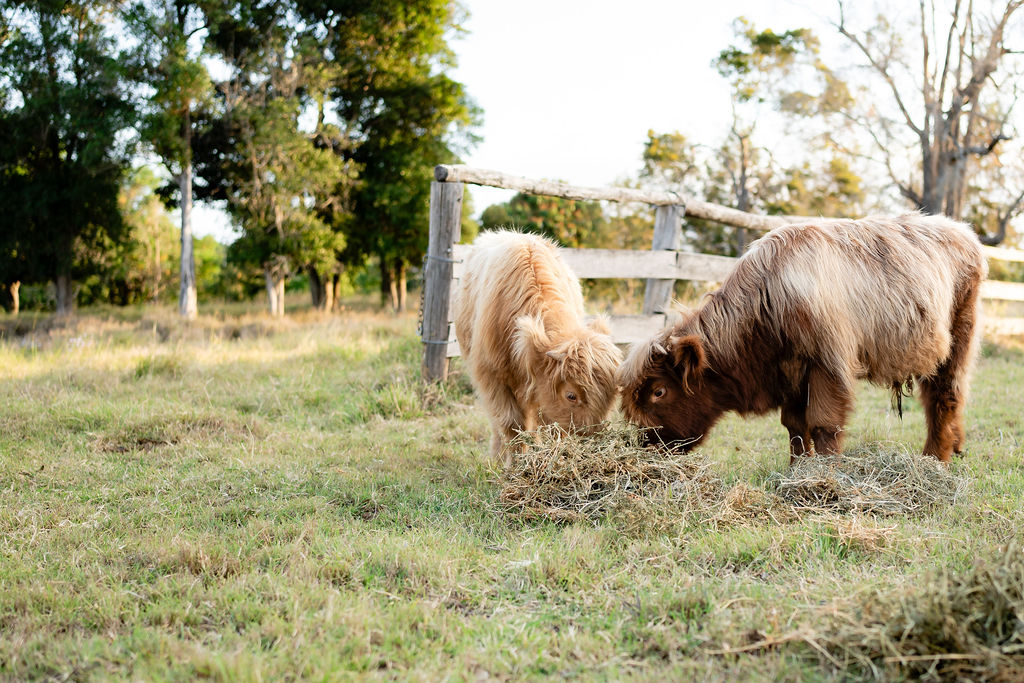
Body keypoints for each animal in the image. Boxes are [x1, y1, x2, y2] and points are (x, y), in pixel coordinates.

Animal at [454, 231, 614, 464]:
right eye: (571, 395)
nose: (590, 443)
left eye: (611, 395)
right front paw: (514, 464)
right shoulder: (491, 377)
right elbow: (510, 424)